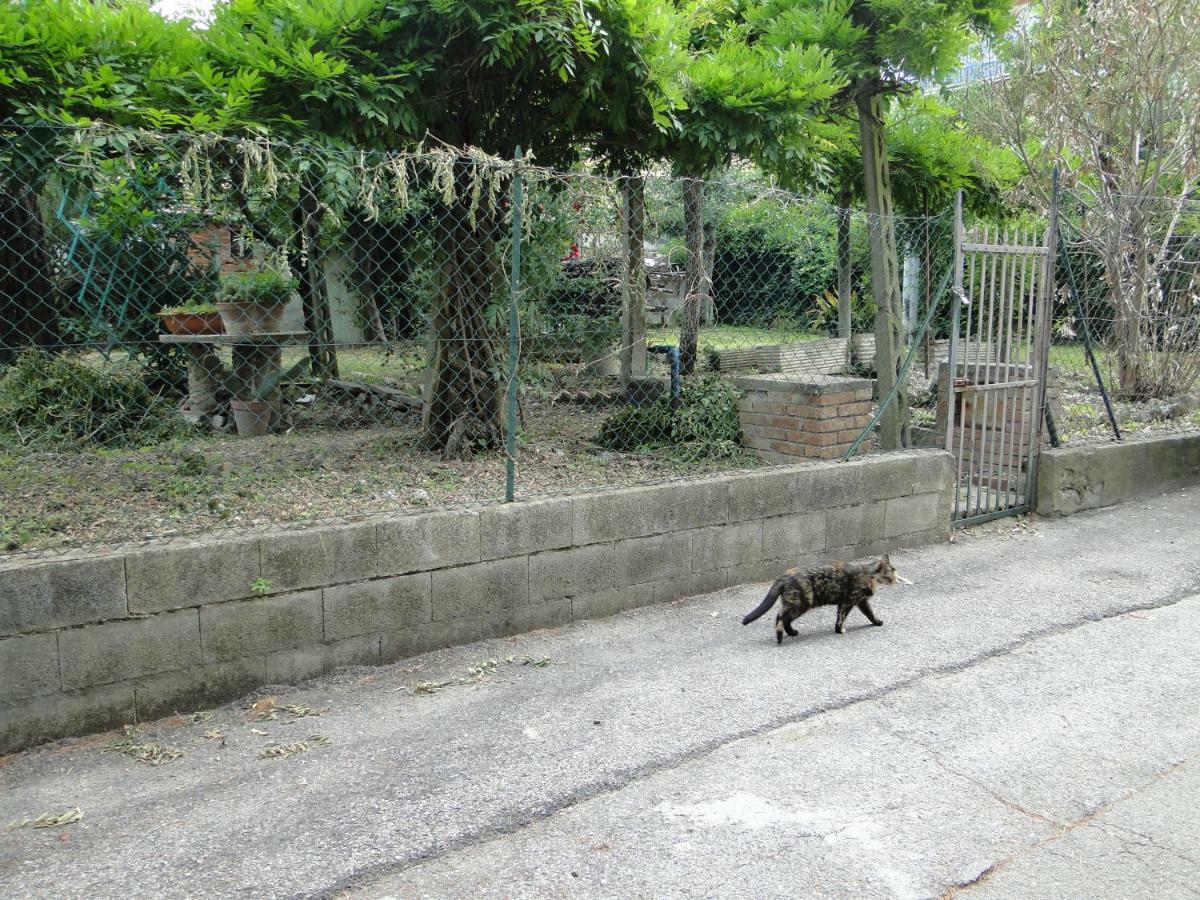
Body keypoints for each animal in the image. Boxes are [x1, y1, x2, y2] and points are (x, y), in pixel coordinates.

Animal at [739, 556, 907, 648]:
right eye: (892, 571)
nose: (898, 578)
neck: (868, 574)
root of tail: (784, 576)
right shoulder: (849, 601)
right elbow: (842, 618)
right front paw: (840, 630)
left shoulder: (860, 601)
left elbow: (869, 613)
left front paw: (876, 622)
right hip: (801, 603)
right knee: (780, 618)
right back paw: (780, 637)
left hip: (795, 603)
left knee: (784, 618)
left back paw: (792, 633)